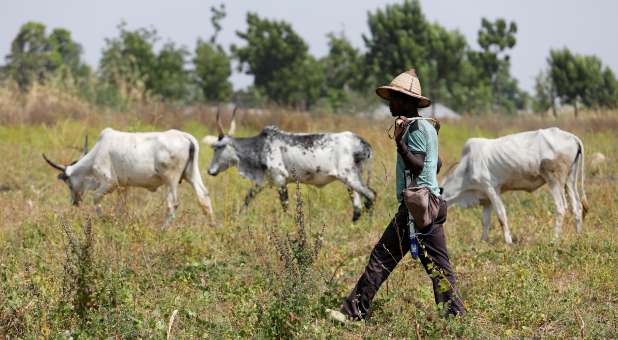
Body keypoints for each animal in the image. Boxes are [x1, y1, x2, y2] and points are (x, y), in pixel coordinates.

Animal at [42, 128, 215, 226]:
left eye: (68, 183)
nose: (75, 202)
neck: (97, 152)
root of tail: (186, 137)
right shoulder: (123, 186)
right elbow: (121, 206)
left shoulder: (109, 183)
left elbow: (96, 198)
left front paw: (102, 220)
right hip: (191, 174)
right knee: (204, 196)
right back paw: (212, 227)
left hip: (170, 180)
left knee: (172, 204)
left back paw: (162, 229)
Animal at [440, 126, 584, 243]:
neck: (467, 167)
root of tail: (573, 138)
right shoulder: (486, 198)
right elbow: (485, 220)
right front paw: (483, 240)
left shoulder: (491, 189)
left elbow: (501, 215)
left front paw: (508, 242)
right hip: (570, 180)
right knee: (576, 207)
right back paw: (578, 236)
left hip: (554, 180)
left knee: (561, 207)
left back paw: (555, 239)